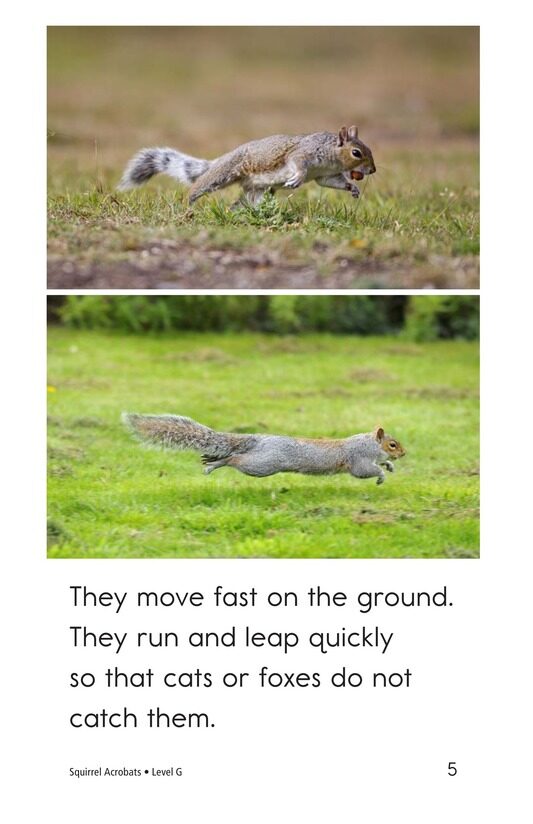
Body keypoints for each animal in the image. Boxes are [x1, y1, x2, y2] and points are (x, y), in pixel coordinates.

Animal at [118, 125, 376, 207]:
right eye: (356, 152)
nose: (372, 170)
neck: (332, 156)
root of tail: (221, 159)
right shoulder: (304, 153)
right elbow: (298, 164)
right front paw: (296, 178)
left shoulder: (325, 175)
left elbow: (331, 182)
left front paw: (352, 188)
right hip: (223, 174)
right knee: (198, 187)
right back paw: (187, 205)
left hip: (257, 190)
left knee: (241, 203)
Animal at [122, 413, 405, 485]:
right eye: (392, 444)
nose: (403, 453)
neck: (369, 443)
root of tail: (259, 439)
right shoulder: (358, 461)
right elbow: (367, 470)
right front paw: (381, 475)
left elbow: (380, 464)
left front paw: (389, 466)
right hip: (262, 465)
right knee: (234, 458)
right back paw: (215, 463)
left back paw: (211, 459)